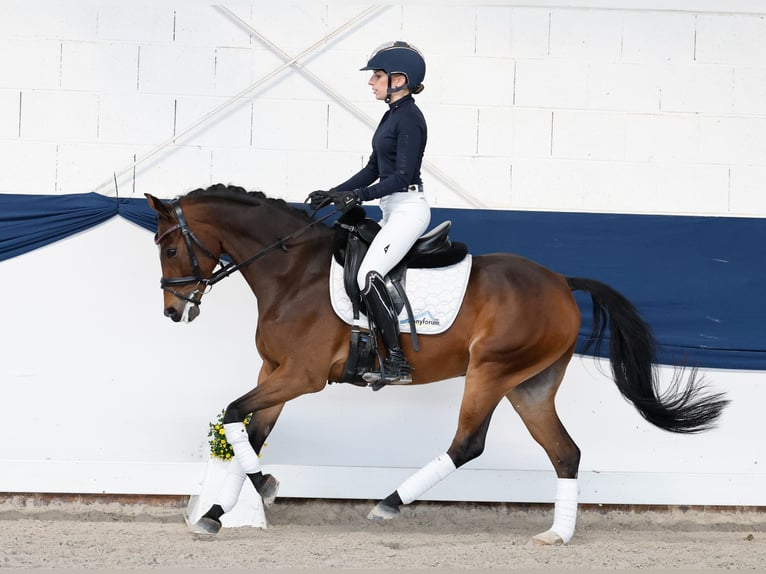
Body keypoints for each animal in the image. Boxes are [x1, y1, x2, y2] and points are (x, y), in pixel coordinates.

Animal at [146, 183, 728, 545]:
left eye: (170, 248)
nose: (174, 311)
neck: (293, 273)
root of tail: (562, 283)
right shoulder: (274, 373)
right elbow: (246, 431)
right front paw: (216, 514)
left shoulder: (301, 377)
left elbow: (231, 414)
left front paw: (259, 489)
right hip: (530, 385)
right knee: (565, 452)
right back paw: (556, 535)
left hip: (490, 372)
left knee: (468, 444)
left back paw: (388, 503)